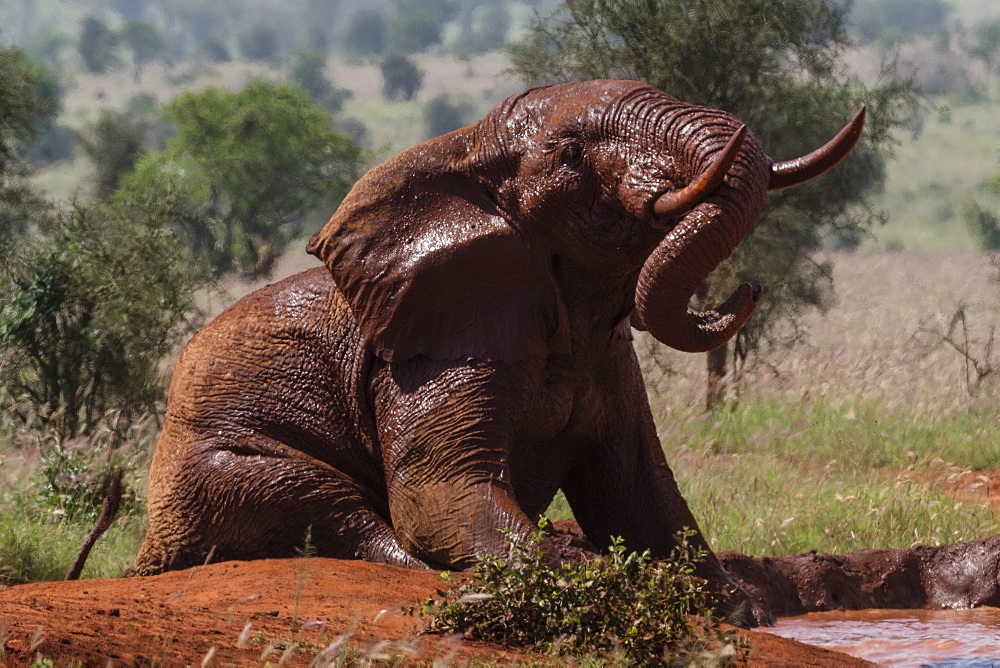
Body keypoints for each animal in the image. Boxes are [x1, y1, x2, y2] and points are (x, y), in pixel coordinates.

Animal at [127, 79, 860, 628]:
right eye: (570, 151)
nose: (750, 286)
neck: (465, 148)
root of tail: (144, 555)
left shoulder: (609, 359)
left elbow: (640, 494)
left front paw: (741, 612)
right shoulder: (429, 354)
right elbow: (440, 496)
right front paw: (584, 575)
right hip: (215, 472)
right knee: (327, 504)